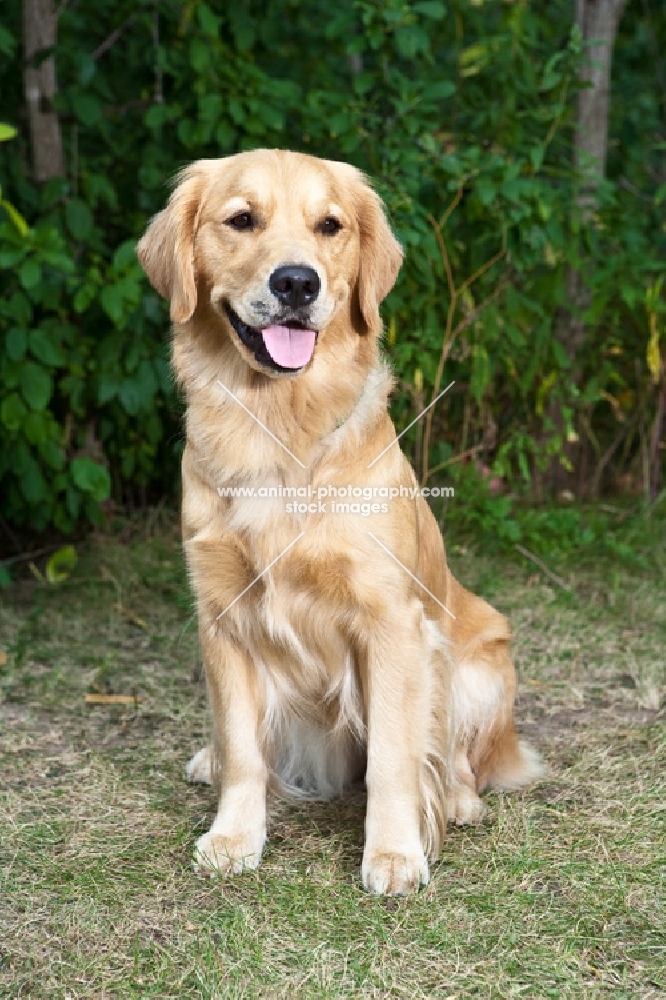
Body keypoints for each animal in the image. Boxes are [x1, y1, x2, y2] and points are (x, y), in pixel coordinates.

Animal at [136, 150, 540, 900]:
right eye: (242, 219)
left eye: (330, 225)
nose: (297, 282)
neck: (277, 430)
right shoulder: (221, 614)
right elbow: (244, 747)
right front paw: (234, 836)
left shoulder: (391, 622)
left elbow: (395, 756)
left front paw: (394, 853)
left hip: (481, 663)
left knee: (461, 757)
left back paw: (459, 801)